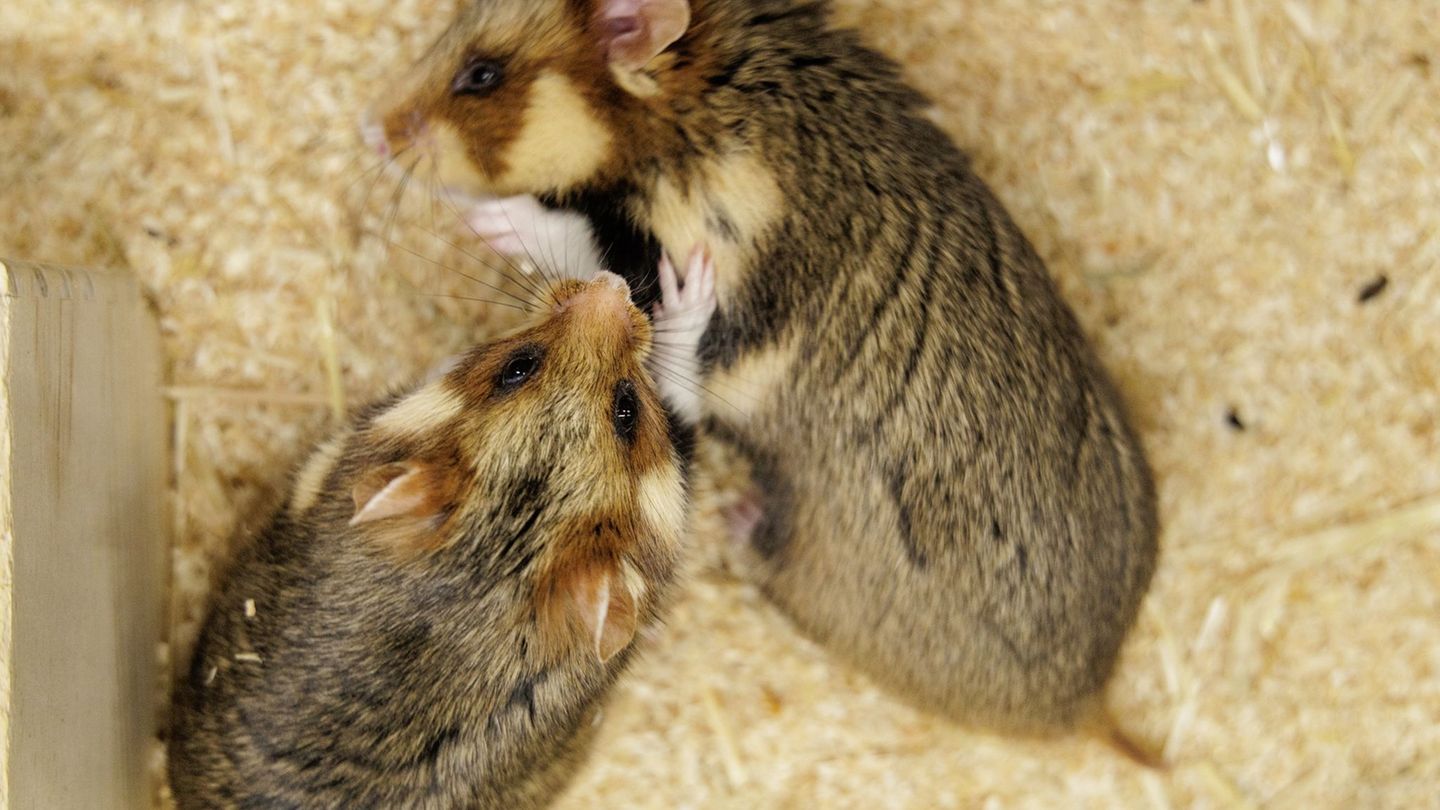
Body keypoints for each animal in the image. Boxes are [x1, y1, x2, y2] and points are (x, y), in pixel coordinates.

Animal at [363, 0, 1158, 735]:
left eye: (481, 76)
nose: (373, 130)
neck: (703, 108)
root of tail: (1088, 707)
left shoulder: (702, 285)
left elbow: (613, 278)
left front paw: (489, 216)